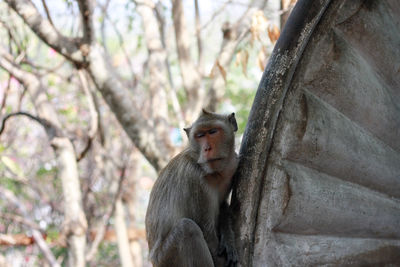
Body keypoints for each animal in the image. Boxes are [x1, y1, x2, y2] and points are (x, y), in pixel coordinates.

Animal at [145, 109, 238, 267]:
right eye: (200, 135)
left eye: (213, 132)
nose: (207, 148)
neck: (213, 173)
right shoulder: (193, 179)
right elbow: (207, 234)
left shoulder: (233, 166)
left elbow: (222, 205)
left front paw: (228, 238)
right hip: (167, 258)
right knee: (187, 228)